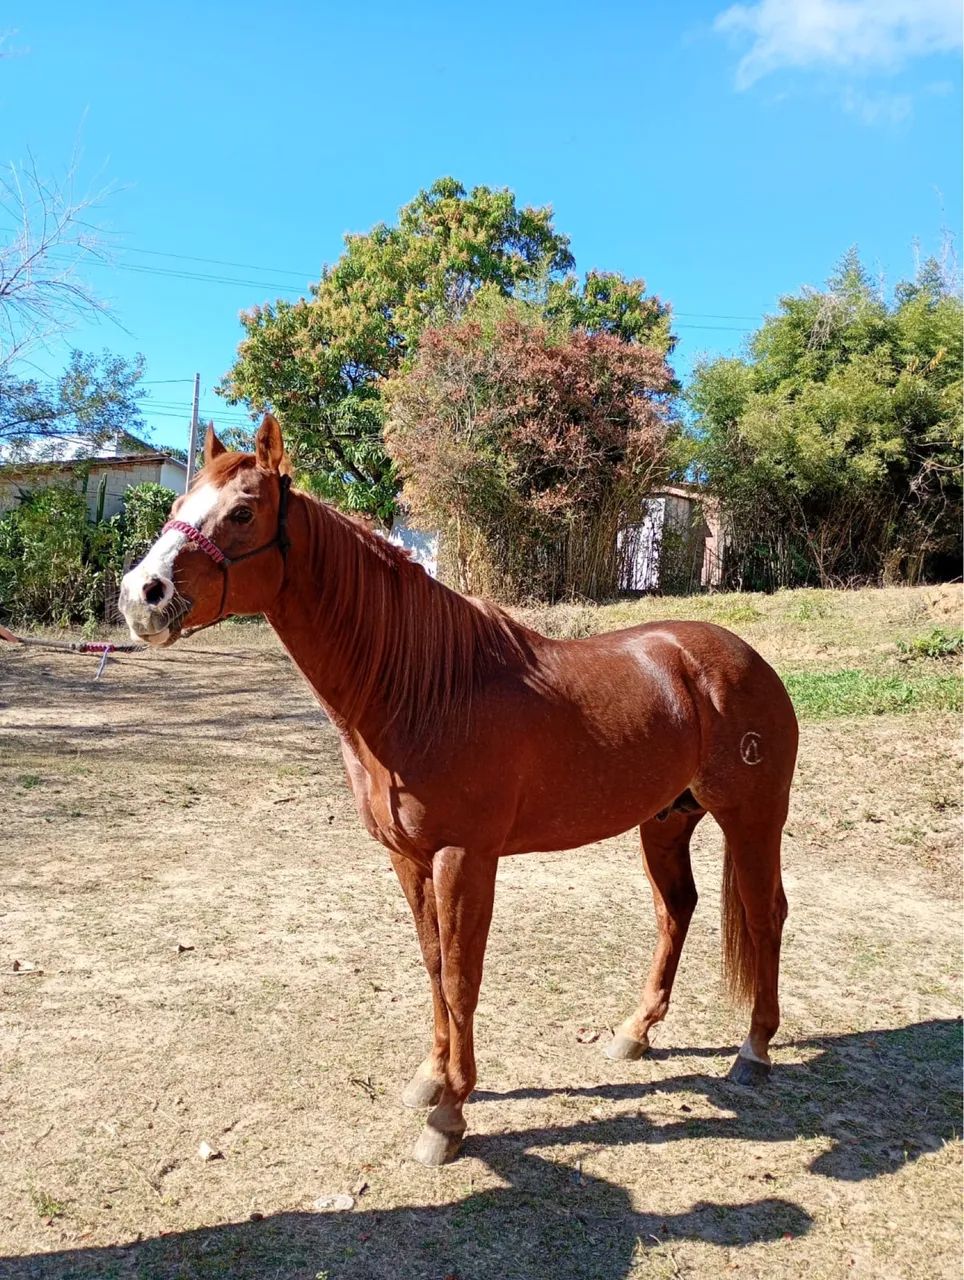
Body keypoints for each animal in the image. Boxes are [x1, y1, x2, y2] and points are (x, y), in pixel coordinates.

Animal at [118, 414, 798, 1166]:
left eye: (242, 512)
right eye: (178, 506)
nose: (140, 596)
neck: (424, 690)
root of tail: (744, 660)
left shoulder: (464, 859)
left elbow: (460, 978)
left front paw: (450, 1116)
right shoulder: (409, 859)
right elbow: (433, 965)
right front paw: (430, 1079)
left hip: (752, 819)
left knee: (765, 916)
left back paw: (753, 1050)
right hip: (665, 822)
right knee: (676, 912)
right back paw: (635, 1032)